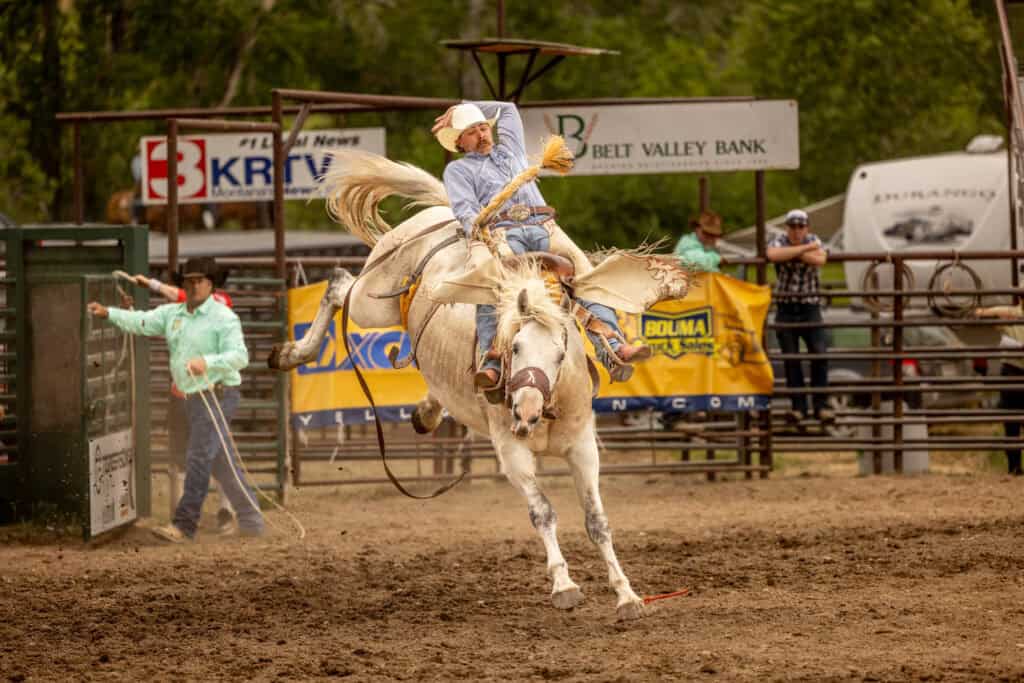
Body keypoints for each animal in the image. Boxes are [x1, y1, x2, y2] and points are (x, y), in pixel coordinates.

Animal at [269, 151, 689, 620]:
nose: (524, 410)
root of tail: (444, 213)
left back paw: (427, 411)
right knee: (340, 285)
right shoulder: (511, 452)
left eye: (561, 353)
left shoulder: (583, 447)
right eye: (515, 347)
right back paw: (292, 353)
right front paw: (564, 584)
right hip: (372, 301)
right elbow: (543, 513)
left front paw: (626, 593)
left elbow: (597, 521)